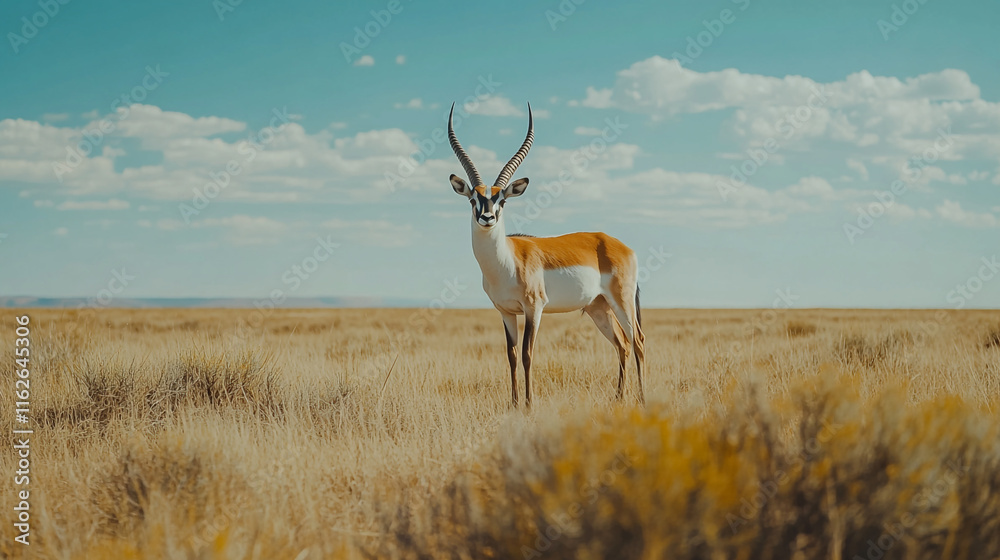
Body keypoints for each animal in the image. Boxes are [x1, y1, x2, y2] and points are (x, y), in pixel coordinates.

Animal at [447, 102, 645, 407]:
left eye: (502, 199)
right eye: (473, 199)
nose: (487, 218)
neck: (507, 262)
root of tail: (618, 245)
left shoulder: (534, 308)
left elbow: (528, 354)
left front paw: (529, 405)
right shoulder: (506, 311)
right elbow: (511, 356)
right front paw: (514, 404)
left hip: (621, 301)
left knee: (638, 341)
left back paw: (644, 400)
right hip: (598, 306)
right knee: (622, 343)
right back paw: (618, 398)